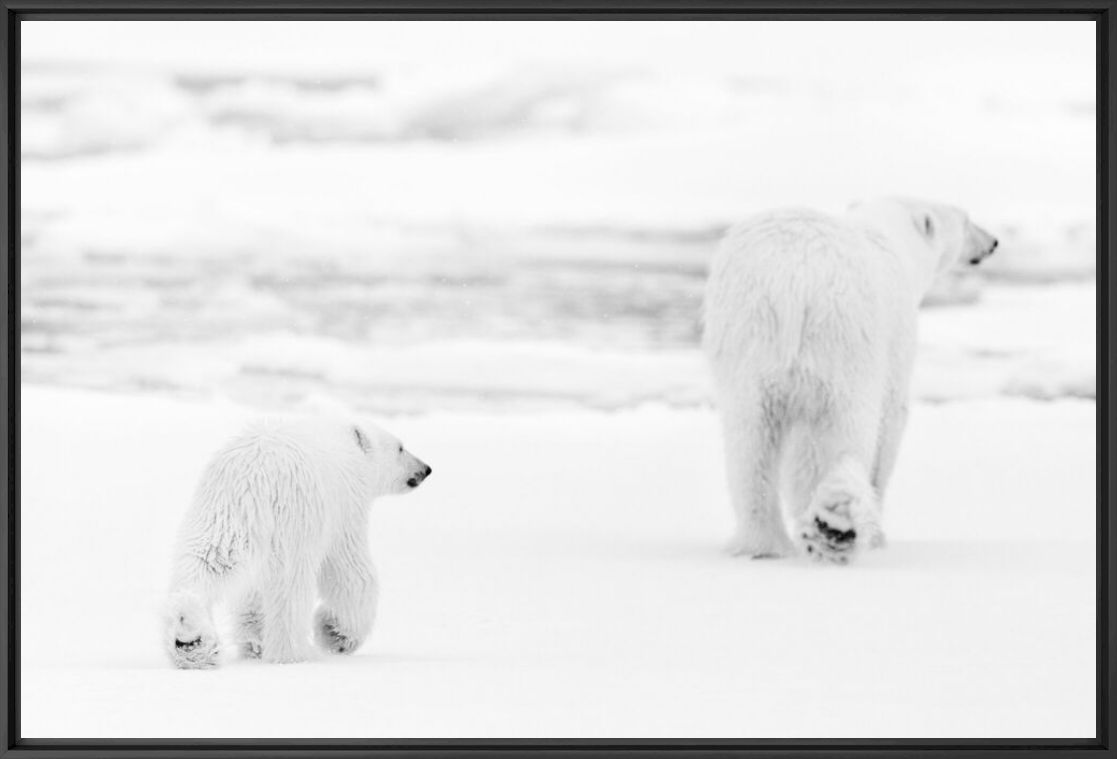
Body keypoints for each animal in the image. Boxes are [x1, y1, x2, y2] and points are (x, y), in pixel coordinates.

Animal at [165, 418, 431, 666]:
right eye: (400, 447)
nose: (426, 468)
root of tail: (255, 471)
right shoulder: (345, 510)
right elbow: (351, 573)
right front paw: (336, 634)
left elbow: (251, 593)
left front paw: (255, 643)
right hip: (293, 515)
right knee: (289, 585)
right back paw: (293, 653)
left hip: (222, 508)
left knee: (207, 559)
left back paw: (190, 639)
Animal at [701, 198, 1000, 561]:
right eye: (967, 220)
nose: (993, 242)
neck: (892, 238)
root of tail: (792, 278)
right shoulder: (895, 336)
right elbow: (890, 421)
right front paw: (878, 536)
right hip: (842, 340)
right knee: (842, 432)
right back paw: (835, 525)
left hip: (746, 336)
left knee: (749, 439)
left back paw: (765, 543)